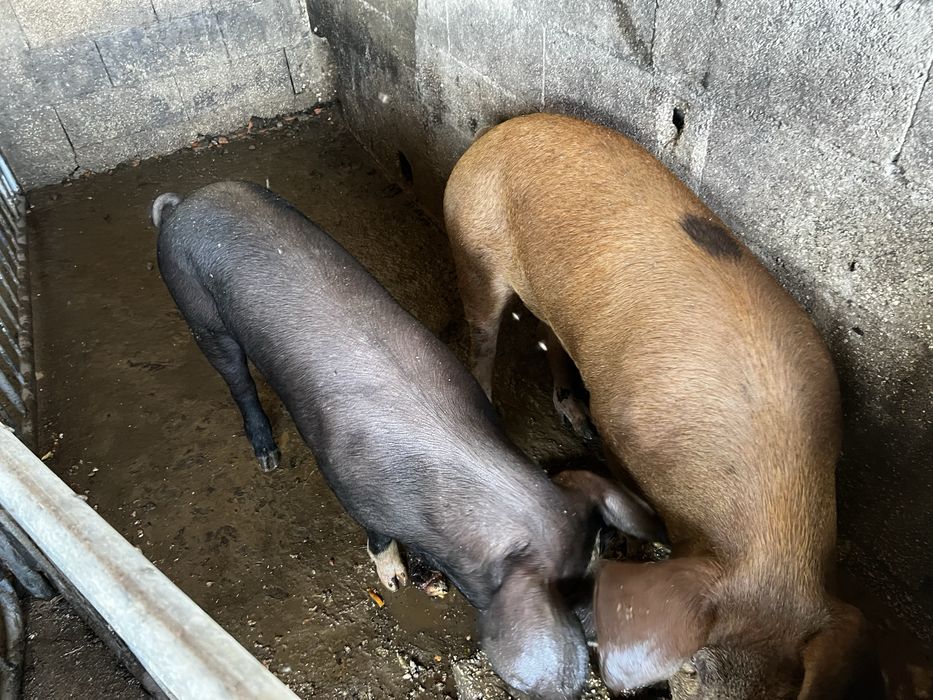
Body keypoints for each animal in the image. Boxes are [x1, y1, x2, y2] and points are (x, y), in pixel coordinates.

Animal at [150, 180, 663, 700]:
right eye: (573, 598)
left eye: (601, 560)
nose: (610, 633)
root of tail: (184, 204)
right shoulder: (348, 483)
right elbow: (378, 538)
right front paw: (395, 583)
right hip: (196, 308)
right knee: (236, 378)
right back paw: (268, 457)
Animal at [442, 113, 885, 699]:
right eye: (691, 671)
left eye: (784, 693)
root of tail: (496, 132)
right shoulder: (621, 423)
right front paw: (629, 550)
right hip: (473, 248)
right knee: (483, 338)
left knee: (550, 334)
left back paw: (574, 417)